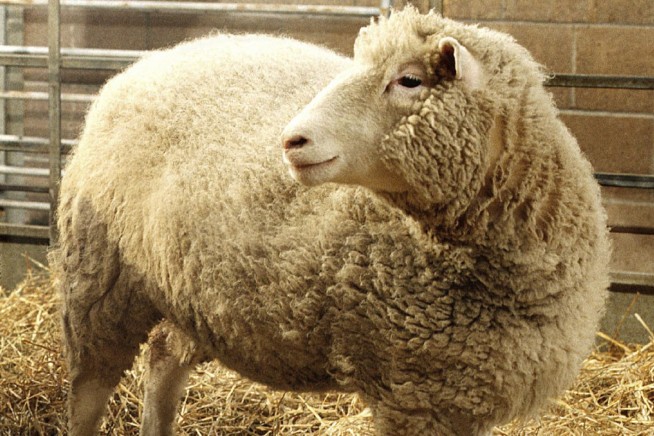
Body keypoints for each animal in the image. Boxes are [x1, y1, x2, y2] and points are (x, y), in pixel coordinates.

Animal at [51, 7, 611, 436]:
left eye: (409, 80)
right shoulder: (412, 395)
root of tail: (145, 64)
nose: (291, 140)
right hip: (100, 277)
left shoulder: (459, 396)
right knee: (89, 391)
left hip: (190, 291)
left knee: (164, 358)